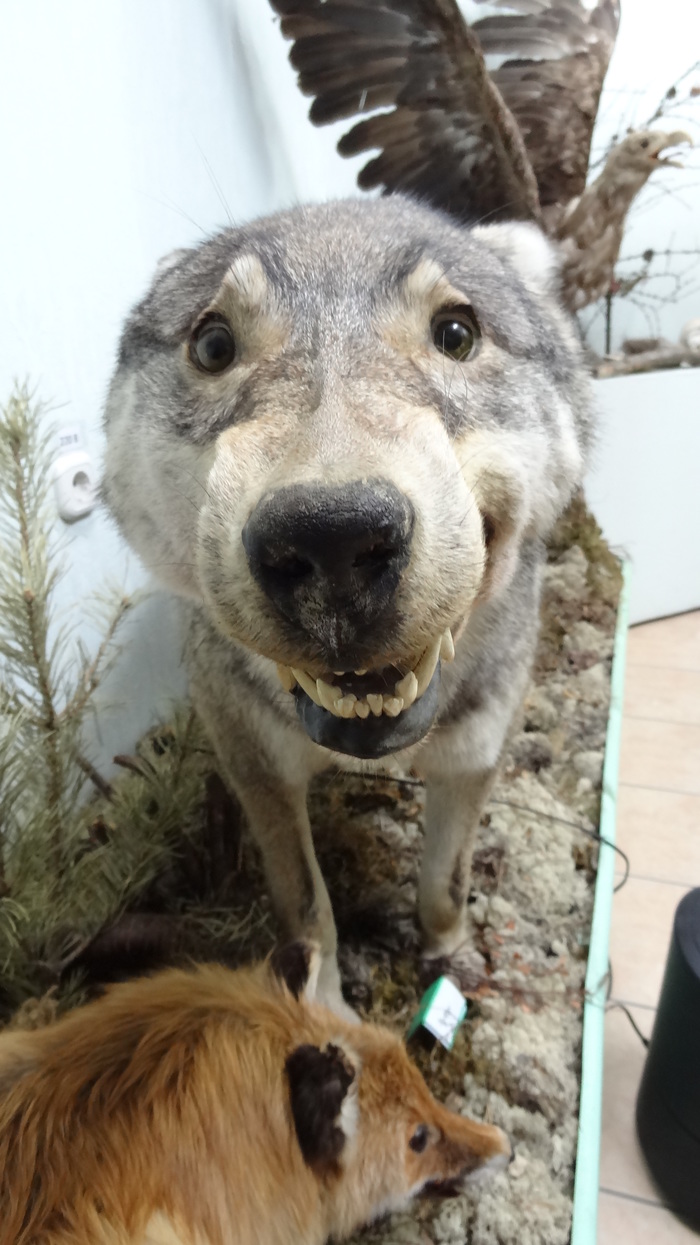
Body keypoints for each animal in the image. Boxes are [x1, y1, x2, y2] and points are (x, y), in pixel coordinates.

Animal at [103, 191, 590, 1010]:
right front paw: (322, 1005)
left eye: (456, 334)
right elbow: (307, 909)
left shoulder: (474, 760)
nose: (331, 536)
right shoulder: (258, 768)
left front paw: (446, 954)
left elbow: (446, 884)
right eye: (213, 345)